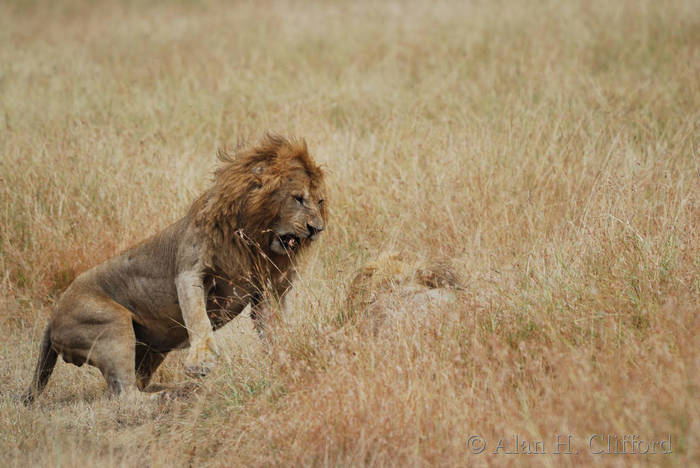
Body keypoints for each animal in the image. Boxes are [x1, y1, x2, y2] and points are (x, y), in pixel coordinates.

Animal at [22, 134, 327, 404]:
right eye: (298, 198)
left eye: (320, 201)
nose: (317, 229)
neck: (252, 239)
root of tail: (53, 315)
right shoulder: (190, 271)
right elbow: (198, 318)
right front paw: (201, 362)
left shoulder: (262, 292)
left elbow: (273, 332)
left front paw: (287, 360)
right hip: (111, 325)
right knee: (124, 396)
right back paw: (173, 394)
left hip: (147, 350)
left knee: (132, 386)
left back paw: (178, 389)